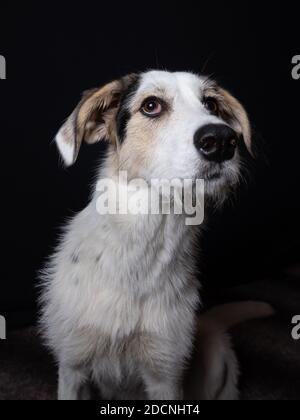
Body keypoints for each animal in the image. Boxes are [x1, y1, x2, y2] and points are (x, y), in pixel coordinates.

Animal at [39, 70, 274, 398]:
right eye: (151, 105)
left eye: (212, 105)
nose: (222, 140)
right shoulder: (73, 367)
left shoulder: (165, 375)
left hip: (217, 362)